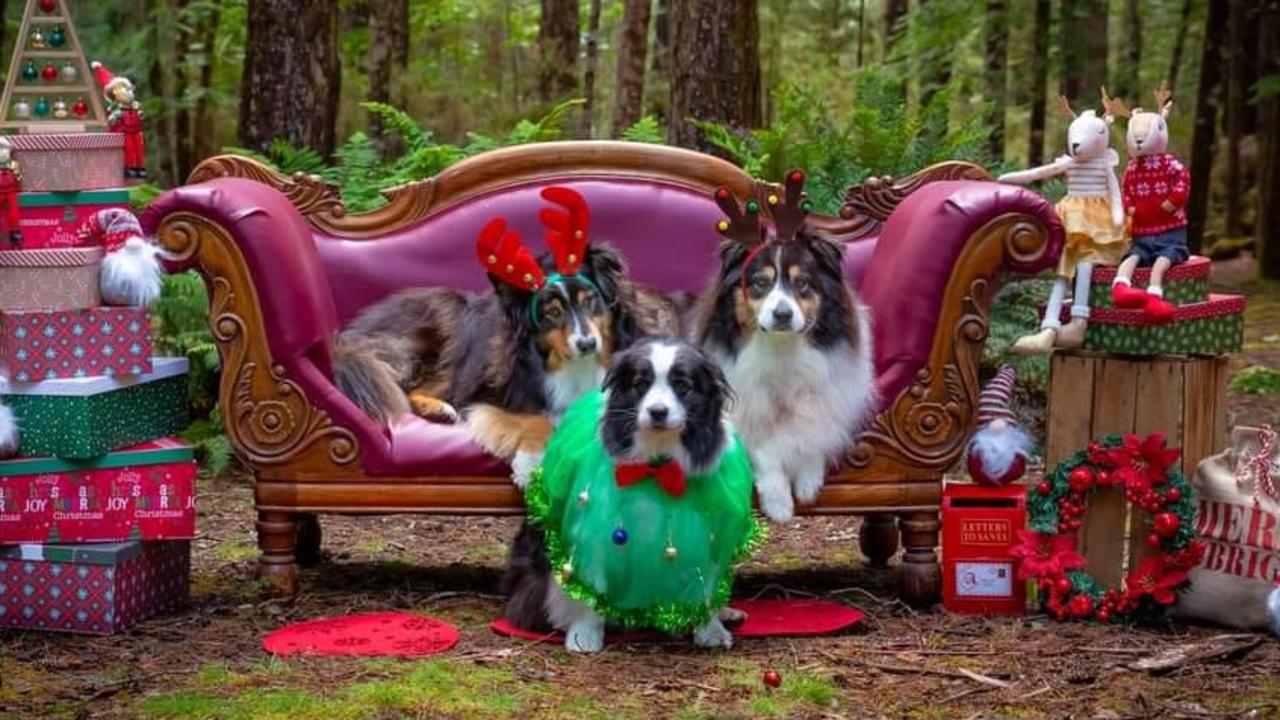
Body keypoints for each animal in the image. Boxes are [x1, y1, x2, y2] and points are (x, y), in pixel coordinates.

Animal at [337, 184, 680, 481]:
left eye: (589, 300)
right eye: (551, 312)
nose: (586, 344)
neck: (573, 365)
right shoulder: (492, 394)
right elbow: (535, 420)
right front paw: (531, 462)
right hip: (447, 325)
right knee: (409, 389)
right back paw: (440, 409)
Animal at [499, 335, 757, 650]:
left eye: (683, 385)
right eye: (640, 383)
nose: (658, 412)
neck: (657, 464)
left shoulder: (713, 532)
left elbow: (706, 586)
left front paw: (711, 630)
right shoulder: (591, 531)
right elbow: (589, 590)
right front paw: (584, 635)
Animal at [691, 172, 880, 520]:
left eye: (802, 283)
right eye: (760, 283)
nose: (782, 314)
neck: (782, 347)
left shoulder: (825, 395)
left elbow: (811, 432)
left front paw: (808, 482)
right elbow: (767, 451)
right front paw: (778, 502)